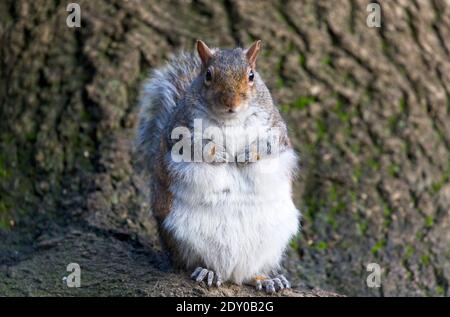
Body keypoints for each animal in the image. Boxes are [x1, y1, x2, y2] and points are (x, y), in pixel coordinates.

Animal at [135, 40, 300, 294]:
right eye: (208, 75)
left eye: (251, 75)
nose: (232, 103)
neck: (231, 121)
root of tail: (232, 273)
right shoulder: (181, 129)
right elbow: (197, 146)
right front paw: (220, 153)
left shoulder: (275, 128)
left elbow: (269, 144)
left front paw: (245, 154)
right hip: (180, 235)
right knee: (192, 262)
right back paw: (208, 271)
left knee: (250, 272)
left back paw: (266, 278)